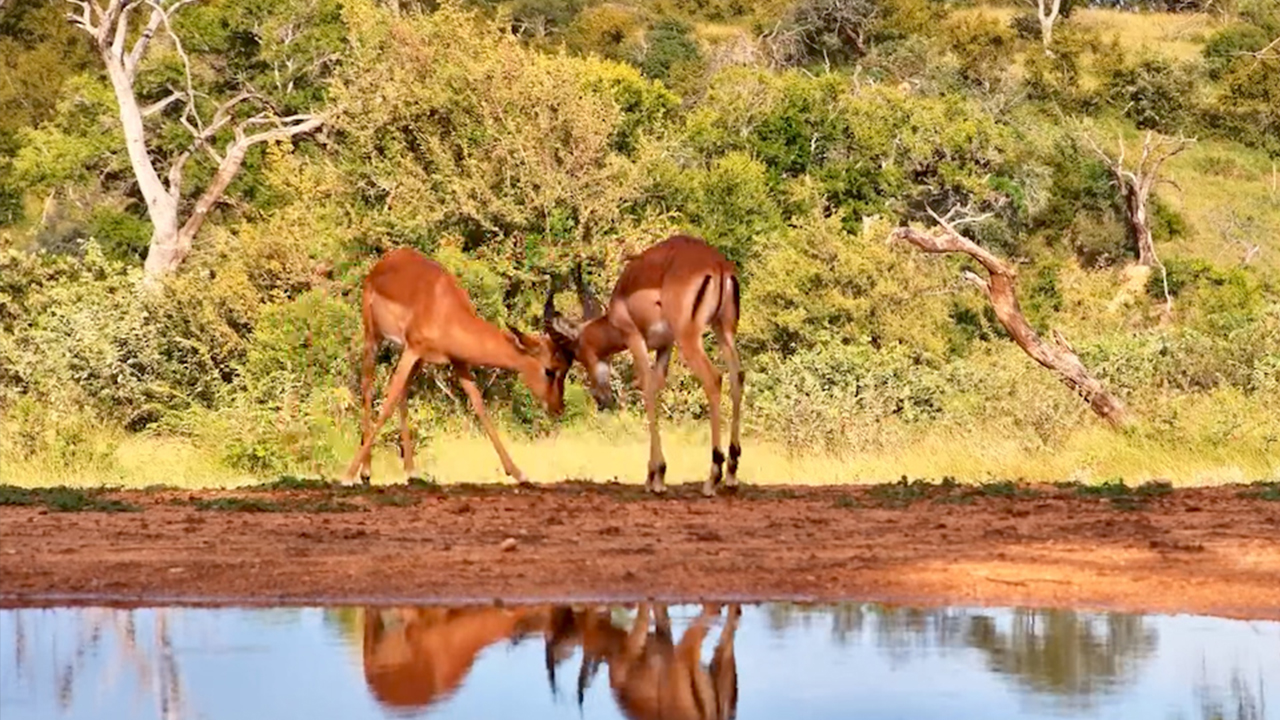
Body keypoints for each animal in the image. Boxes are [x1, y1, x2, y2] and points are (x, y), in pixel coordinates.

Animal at [340, 247, 574, 485]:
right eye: (550, 370)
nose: (558, 407)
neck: (445, 308)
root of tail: (385, 262)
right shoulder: (414, 349)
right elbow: (387, 404)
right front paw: (347, 475)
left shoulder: (456, 361)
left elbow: (479, 405)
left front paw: (518, 473)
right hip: (374, 336)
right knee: (368, 386)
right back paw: (365, 471)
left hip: (410, 355)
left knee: (402, 394)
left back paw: (411, 471)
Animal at [544, 602, 741, 720]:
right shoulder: (663, 639)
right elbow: (661, 616)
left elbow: (644, 610)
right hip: (720, 668)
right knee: (733, 617)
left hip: (683, 656)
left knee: (714, 610)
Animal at [547, 235, 744, 496]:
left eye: (577, 353)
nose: (600, 397)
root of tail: (718, 264)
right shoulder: (665, 346)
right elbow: (657, 387)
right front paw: (654, 475)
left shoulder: (634, 339)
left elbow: (647, 388)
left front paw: (656, 475)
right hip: (724, 329)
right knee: (737, 377)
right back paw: (731, 471)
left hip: (690, 337)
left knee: (713, 378)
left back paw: (713, 477)